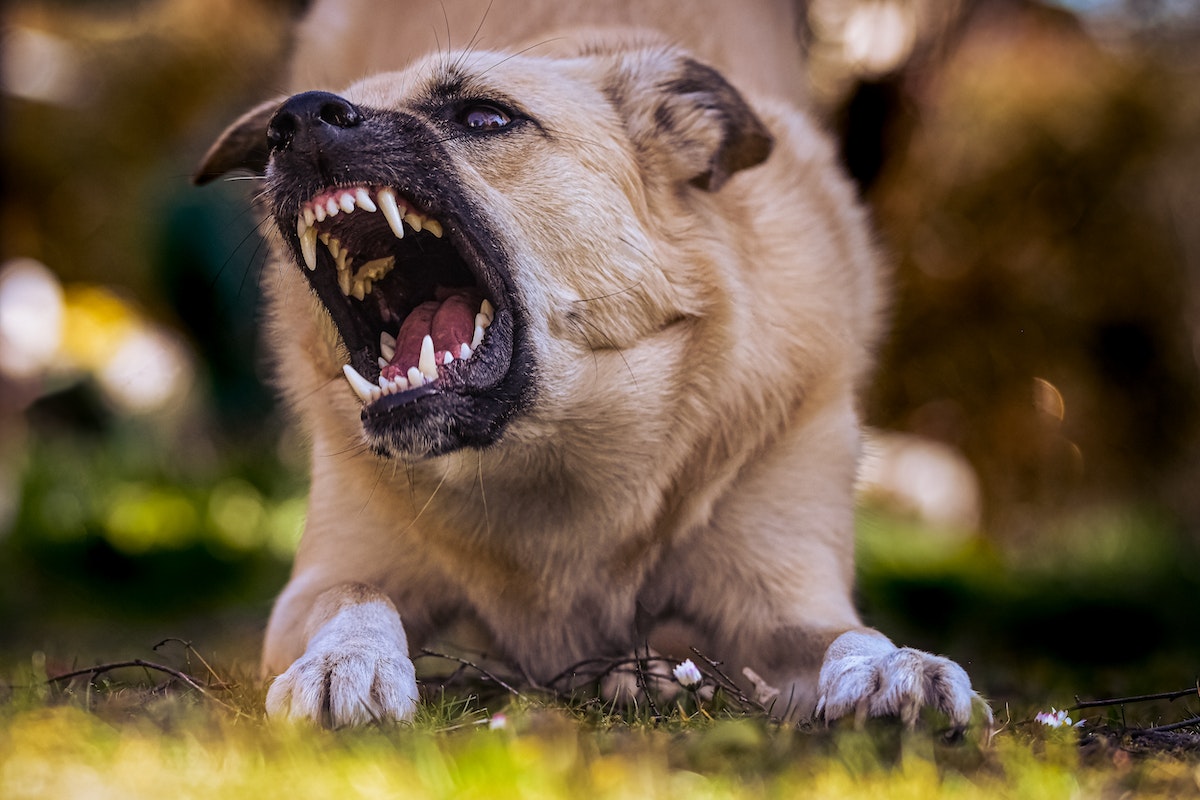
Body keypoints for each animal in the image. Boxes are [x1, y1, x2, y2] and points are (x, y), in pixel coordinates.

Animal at [194, 0, 984, 729]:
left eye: (485, 117)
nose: (296, 120)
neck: (548, 458)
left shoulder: (785, 598)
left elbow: (846, 634)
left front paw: (893, 668)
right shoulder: (325, 579)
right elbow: (357, 595)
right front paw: (345, 660)